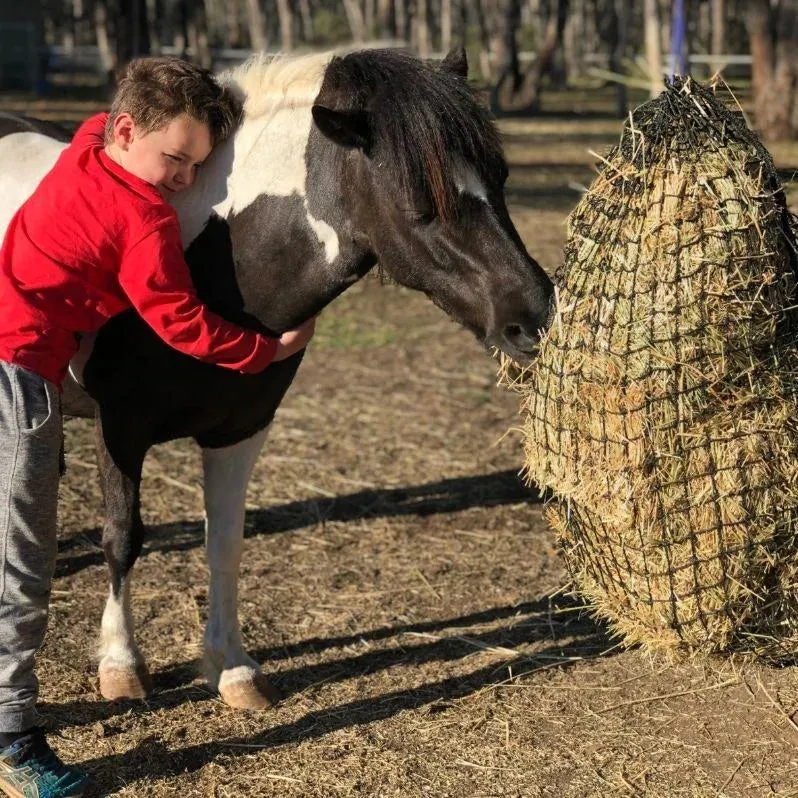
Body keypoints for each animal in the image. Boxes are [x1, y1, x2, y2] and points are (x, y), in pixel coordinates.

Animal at [0, 48, 552, 712]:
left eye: (499, 179)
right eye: (421, 205)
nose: (534, 316)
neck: (215, 265)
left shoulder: (241, 432)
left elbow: (225, 544)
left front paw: (232, 668)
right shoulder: (120, 431)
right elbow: (122, 538)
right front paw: (121, 665)